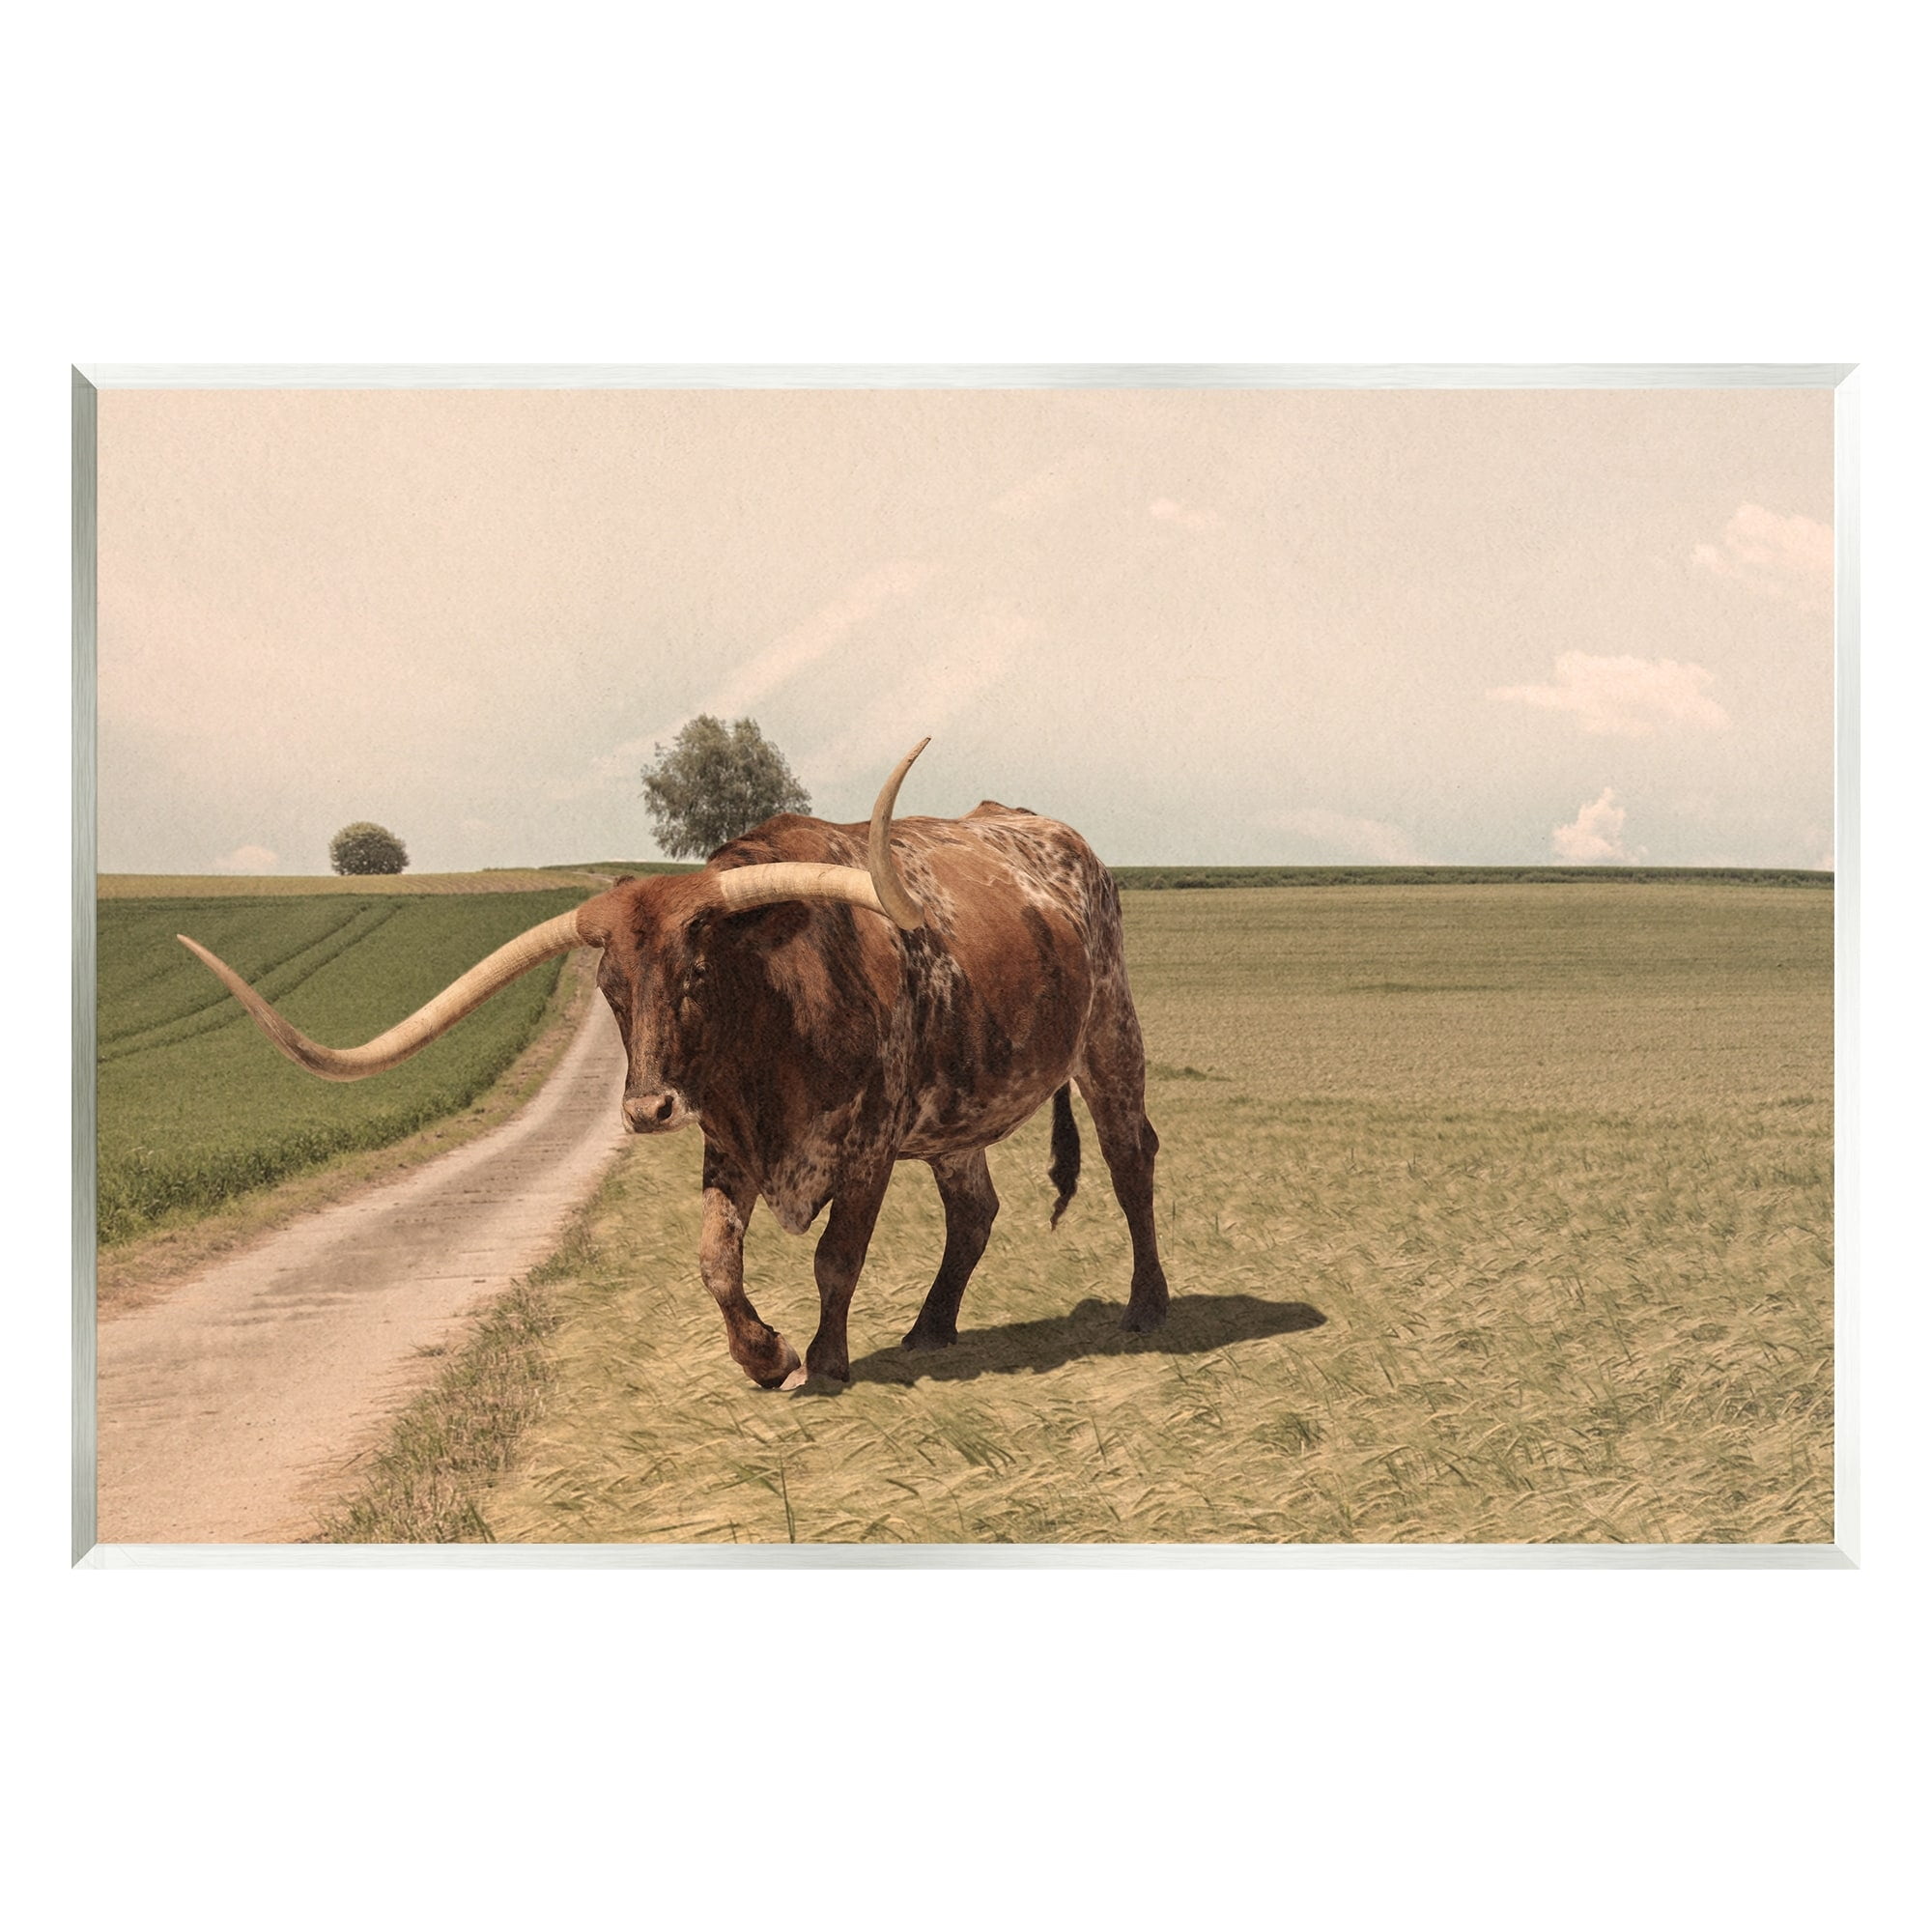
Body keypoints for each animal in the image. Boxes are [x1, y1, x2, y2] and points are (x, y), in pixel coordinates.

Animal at [177, 741, 1169, 1389]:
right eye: (611, 987)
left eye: (697, 970)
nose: (647, 1109)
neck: (778, 1021)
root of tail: (1054, 835)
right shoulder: (729, 1143)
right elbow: (714, 1263)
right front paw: (764, 1356)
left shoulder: (870, 1145)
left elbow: (837, 1258)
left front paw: (828, 1361)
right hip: (959, 1112)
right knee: (975, 1211)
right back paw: (931, 1330)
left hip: (1110, 1036)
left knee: (1132, 1159)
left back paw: (1147, 1306)